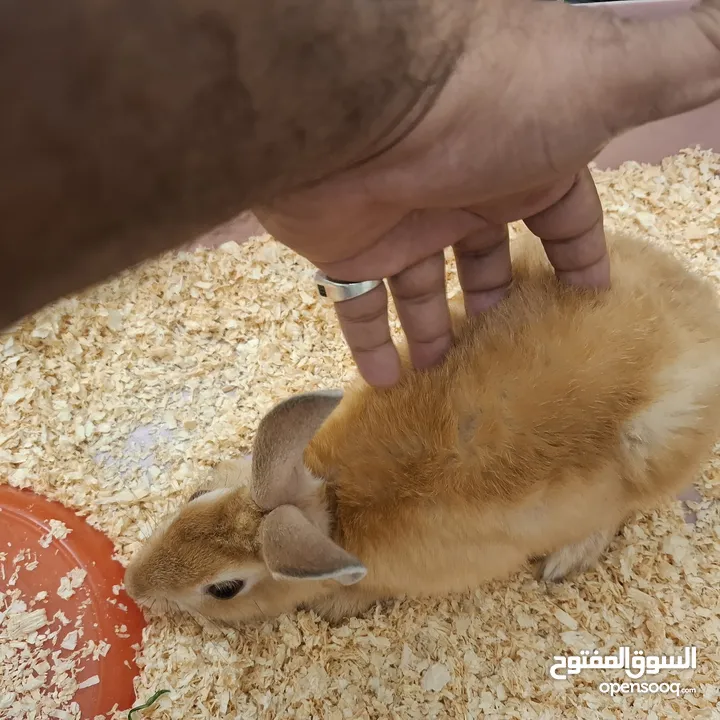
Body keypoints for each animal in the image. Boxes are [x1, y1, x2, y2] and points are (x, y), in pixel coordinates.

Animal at [124, 229, 720, 626]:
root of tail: (703, 307)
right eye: (196, 497)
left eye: (224, 588)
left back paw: (563, 562)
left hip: (652, 449)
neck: (334, 505)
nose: (134, 587)